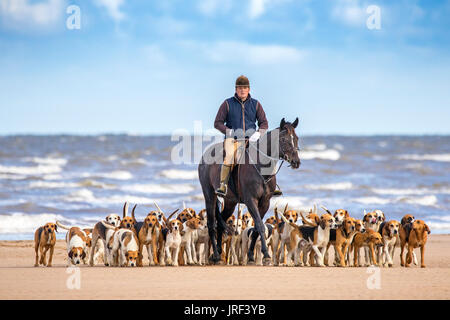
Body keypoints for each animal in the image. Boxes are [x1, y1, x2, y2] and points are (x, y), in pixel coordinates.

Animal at [198, 117, 300, 264]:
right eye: (283, 139)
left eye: (296, 138)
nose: (296, 162)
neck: (260, 167)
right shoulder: (251, 200)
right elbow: (259, 225)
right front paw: (266, 254)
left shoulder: (265, 203)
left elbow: (257, 228)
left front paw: (252, 255)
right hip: (209, 196)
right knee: (211, 224)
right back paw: (216, 255)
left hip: (230, 202)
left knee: (220, 222)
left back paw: (219, 253)